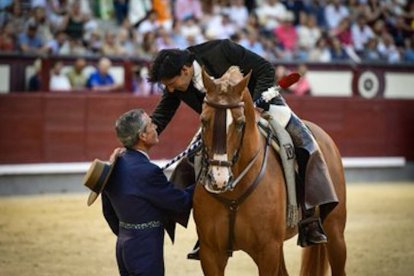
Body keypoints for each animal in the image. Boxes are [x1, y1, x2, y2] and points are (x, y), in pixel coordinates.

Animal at [192, 67, 348, 276]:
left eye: (240, 122)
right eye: (204, 120)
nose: (218, 180)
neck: (235, 193)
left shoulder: (268, 250)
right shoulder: (211, 253)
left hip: (335, 230)